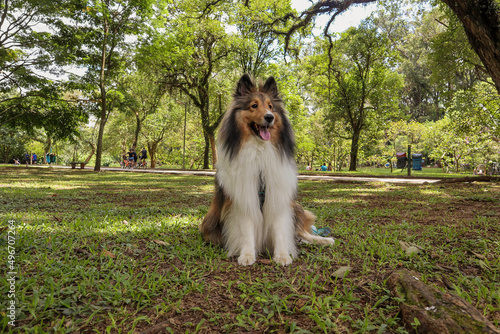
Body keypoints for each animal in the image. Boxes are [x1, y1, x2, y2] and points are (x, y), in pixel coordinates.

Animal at [200, 73, 336, 266]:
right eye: (254, 105)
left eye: (271, 106)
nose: (270, 117)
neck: (260, 151)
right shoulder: (242, 199)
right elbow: (246, 230)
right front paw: (247, 255)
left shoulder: (278, 196)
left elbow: (280, 230)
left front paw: (282, 255)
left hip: (295, 207)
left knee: (301, 233)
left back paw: (323, 240)